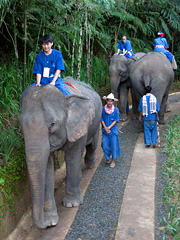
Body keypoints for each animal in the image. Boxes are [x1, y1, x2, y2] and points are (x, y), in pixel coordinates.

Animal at [18, 76, 102, 229]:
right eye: (20, 124)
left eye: (52, 124)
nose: (44, 224)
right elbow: (47, 168)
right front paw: (51, 220)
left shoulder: (78, 125)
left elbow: (72, 158)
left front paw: (72, 204)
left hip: (95, 120)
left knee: (92, 145)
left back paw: (90, 165)